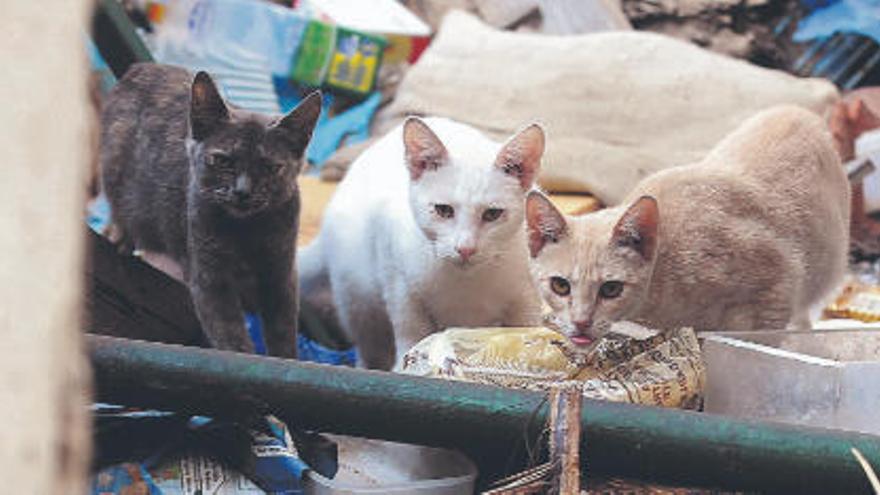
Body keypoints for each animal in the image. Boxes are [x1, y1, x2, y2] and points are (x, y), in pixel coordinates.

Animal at [100, 64, 320, 358]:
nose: (242, 191)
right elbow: (230, 333)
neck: (247, 231)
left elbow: (283, 331)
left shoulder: (280, 274)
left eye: (270, 167)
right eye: (222, 160)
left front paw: (286, 359)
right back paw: (120, 235)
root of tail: (141, 67)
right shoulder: (209, 278)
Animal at [306, 118, 548, 370]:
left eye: (492, 214)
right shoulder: (399, 284)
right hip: (357, 297)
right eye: (443, 210)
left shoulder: (527, 294)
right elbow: (411, 330)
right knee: (368, 344)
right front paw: (408, 364)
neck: (466, 283)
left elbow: (526, 328)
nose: (465, 248)